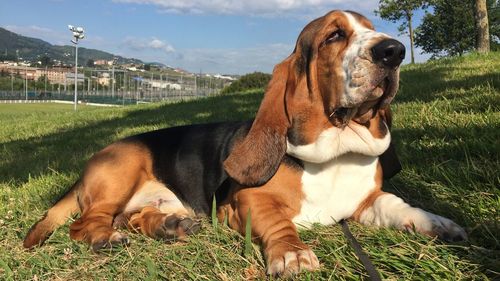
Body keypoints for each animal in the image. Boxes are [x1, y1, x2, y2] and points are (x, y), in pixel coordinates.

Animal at [23, 9, 466, 276]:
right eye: (335, 36)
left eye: (373, 29)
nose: (394, 51)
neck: (336, 151)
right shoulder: (245, 202)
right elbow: (279, 222)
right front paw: (292, 252)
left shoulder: (365, 202)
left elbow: (395, 204)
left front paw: (435, 223)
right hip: (121, 171)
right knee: (84, 223)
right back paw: (107, 237)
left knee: (131, 217)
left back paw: (169, 225)